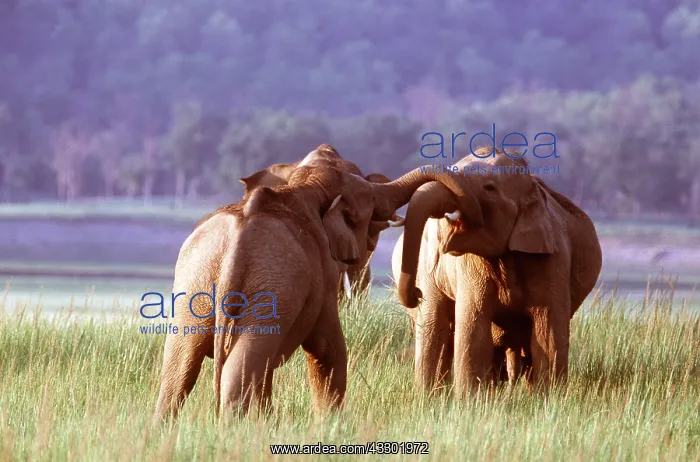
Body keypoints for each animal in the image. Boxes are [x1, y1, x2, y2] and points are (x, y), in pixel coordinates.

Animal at [391, 148, 602, 396]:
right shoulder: (469, 266)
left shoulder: (554, 260)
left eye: (489, 188)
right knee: (435, 325)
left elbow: (548, 331)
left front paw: (549, 398)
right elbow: (473, 327)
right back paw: (429, 396)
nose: (416, 293)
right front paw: (470, 400)